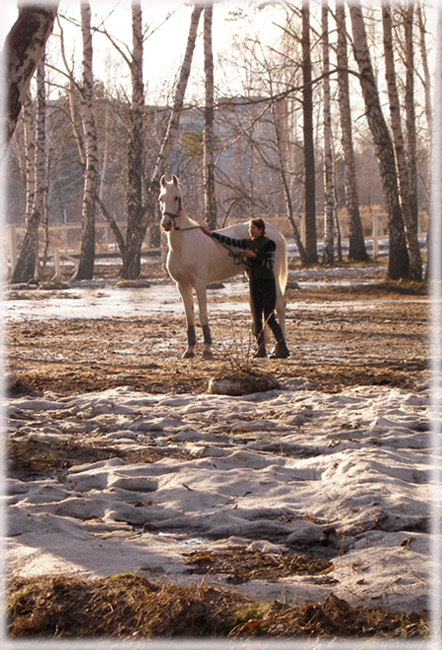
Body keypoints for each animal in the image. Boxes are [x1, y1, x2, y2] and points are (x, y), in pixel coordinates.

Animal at [158, 175, 286, 356]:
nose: (166, 223)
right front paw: (189, 350)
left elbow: (203, 315)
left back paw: (278, 347)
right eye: (161, 199)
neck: (183, 245)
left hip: (272, 278)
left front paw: (207, 348)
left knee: (280, 306)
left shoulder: (199, 283)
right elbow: (189, 317)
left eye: (177, 197)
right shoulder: (182, 285)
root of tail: (276, 233)